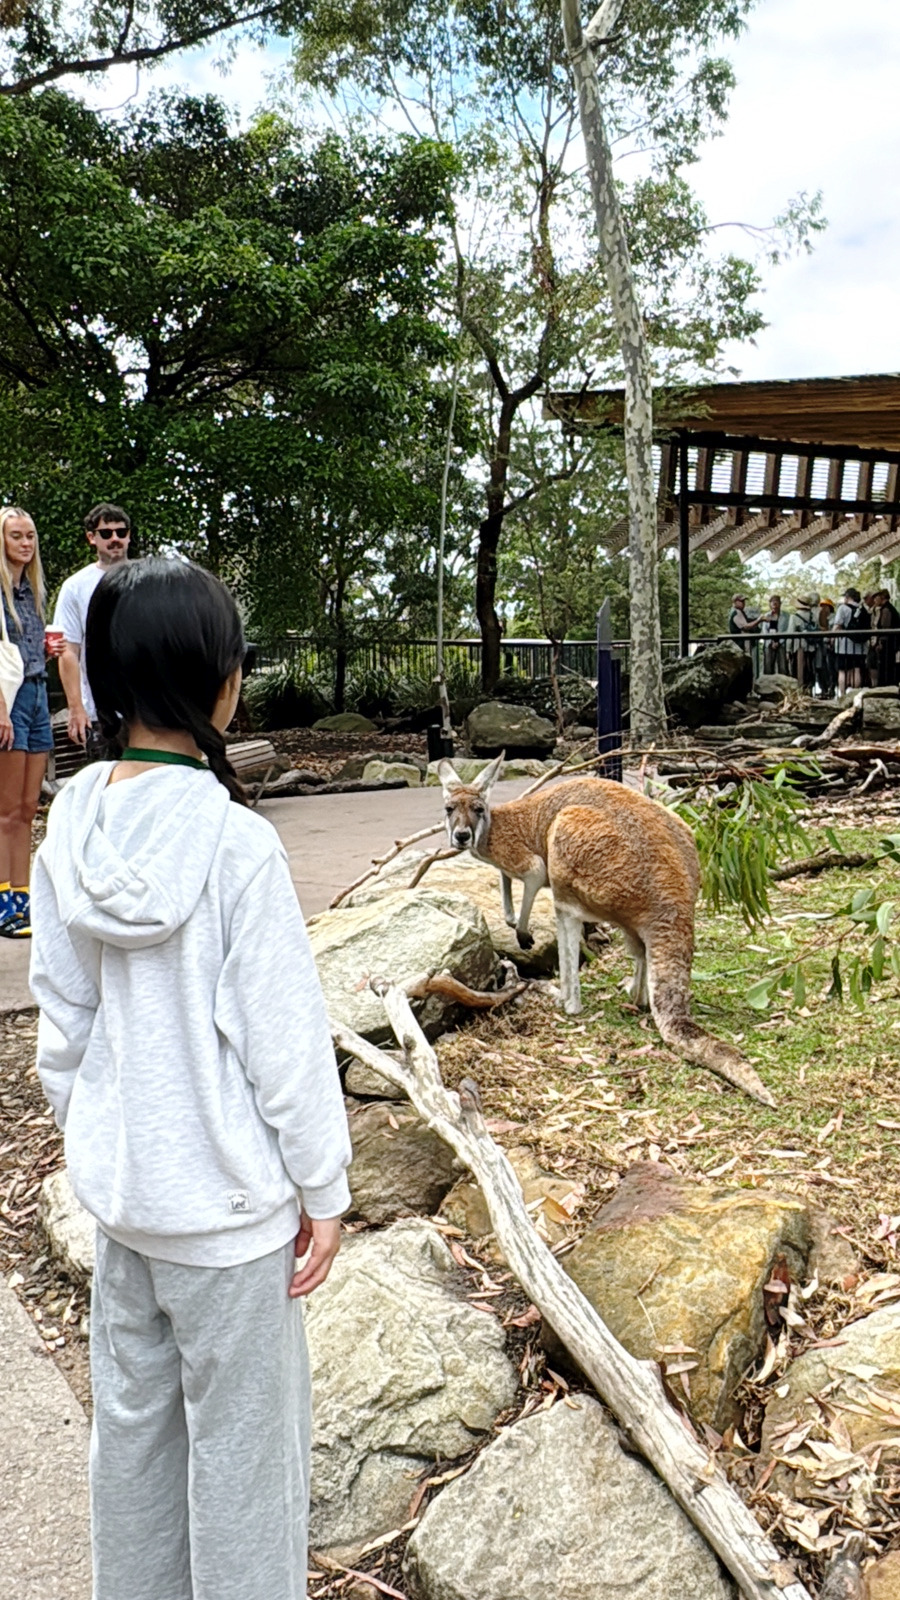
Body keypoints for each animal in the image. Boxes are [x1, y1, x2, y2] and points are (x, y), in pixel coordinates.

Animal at [437, 755, 774, 1106]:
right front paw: (511, 918)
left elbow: (530, 880)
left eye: (477, 808)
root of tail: (675, 900)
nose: (461, 836)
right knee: (640, 953)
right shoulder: (506, 867)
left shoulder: (528, 863)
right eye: (449, 808)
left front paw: (523, 932)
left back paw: (557, 996)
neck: (491, 830)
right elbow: (505, 888)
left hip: (571, 855)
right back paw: (633, 993)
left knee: (570, 940)